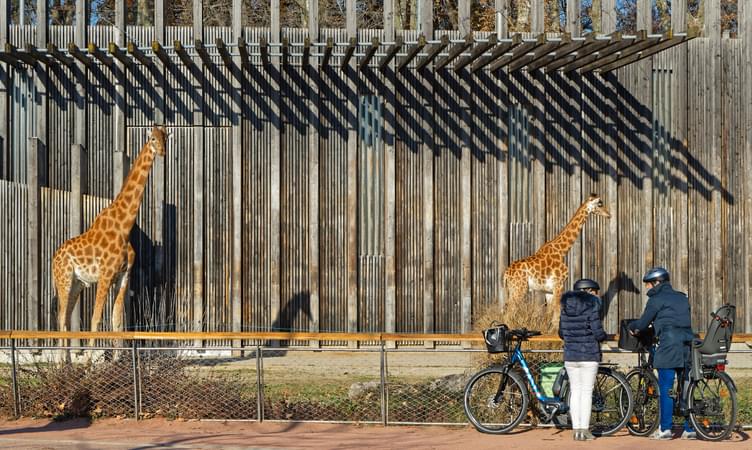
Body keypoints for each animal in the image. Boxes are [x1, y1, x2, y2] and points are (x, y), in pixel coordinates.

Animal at [53, 126, 169, 348]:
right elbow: (96, 319)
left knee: (65, 319)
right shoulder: (105, 275)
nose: (162, 152)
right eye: (152, 138)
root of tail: (54, 257)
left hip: (76, 283)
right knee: (61, 319)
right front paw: (90, 358)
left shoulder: (123, 276)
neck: (124, 227)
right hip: (63, 279)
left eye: (165, 138)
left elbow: (118, 323)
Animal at [500, 194, 612, 326]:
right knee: (509, 314)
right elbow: (556, 316)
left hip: (512, 290)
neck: (562, 250)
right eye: (600, 204)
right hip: (519, 289)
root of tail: (506, 274)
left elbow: (549, 316)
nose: (609, 214)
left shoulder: (549, 290)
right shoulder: (559, 285)